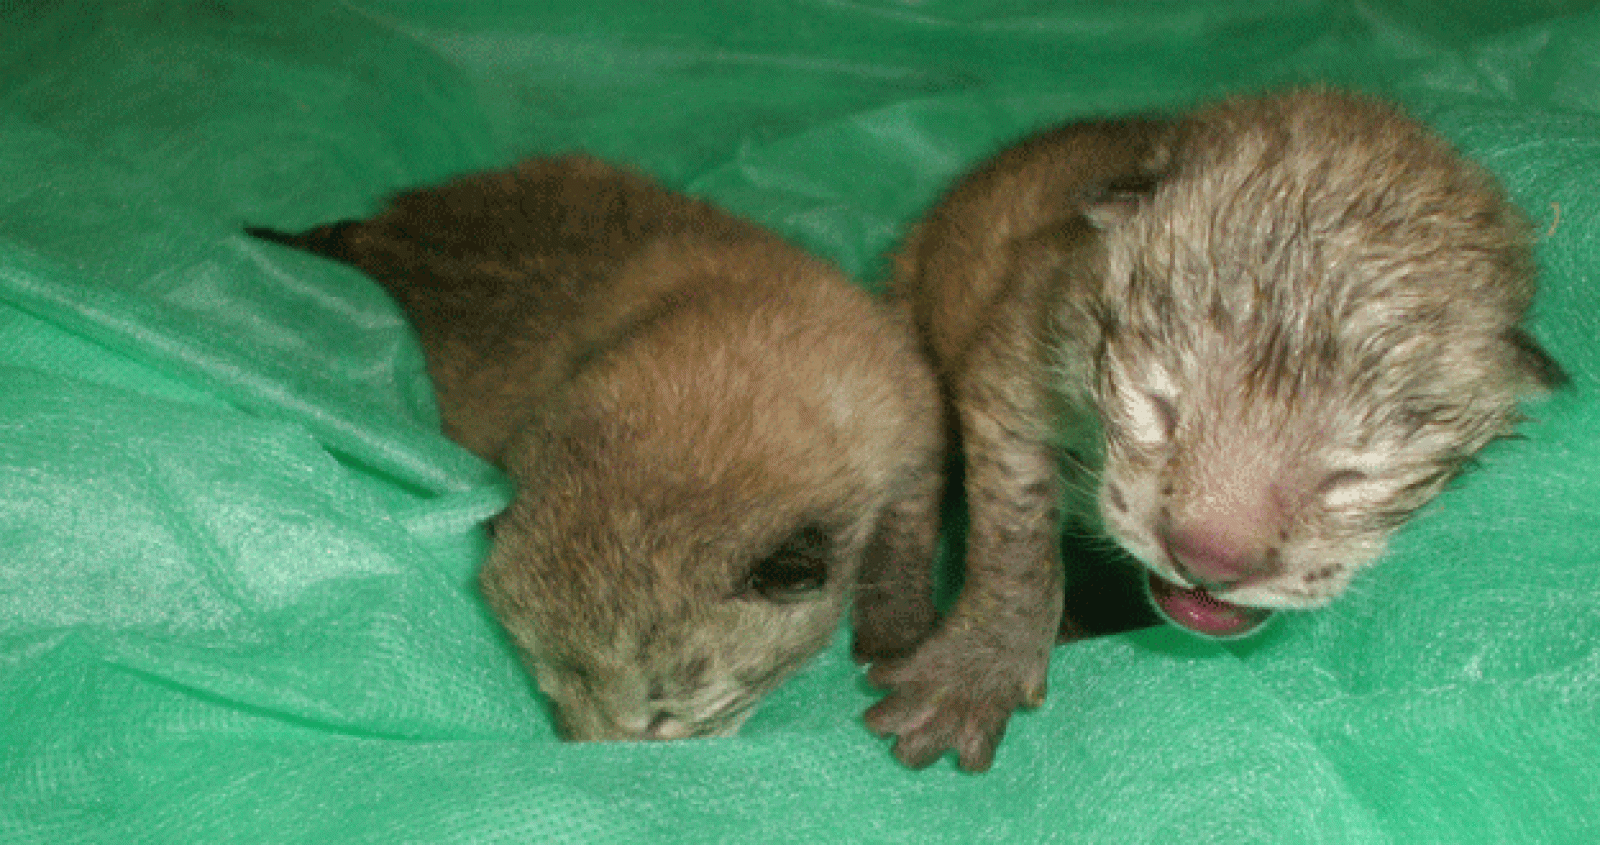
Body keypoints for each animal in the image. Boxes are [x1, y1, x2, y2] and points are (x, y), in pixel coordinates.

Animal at [249, 155, 940, 742]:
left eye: (664, 711)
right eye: (551, 691)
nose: (587, 747)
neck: (746, 376)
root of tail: (400, 230)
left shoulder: (911, 408)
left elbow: (909, 520)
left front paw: (895, 630)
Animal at [870, 90, 1568, 771]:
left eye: (1349, 478)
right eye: (1156, 409)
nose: (1208, 560)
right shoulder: (1011, 365)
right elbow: (1016, 531)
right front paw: (978, 667)